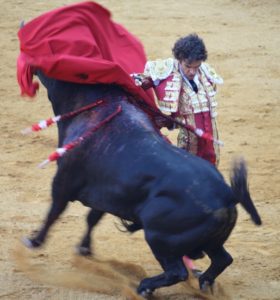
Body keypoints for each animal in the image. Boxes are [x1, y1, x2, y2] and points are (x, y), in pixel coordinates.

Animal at [23, 71, 262, 296]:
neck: (99, 105)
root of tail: (228, 194)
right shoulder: (106, 195)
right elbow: (92, 218)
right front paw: (84, 249)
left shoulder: (63, 181)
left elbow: (54, 212)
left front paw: (34, 241)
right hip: (210, 241)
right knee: (223, 259)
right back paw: (204, 283)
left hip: (158, 236)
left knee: (177, 272)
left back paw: (145, 287)